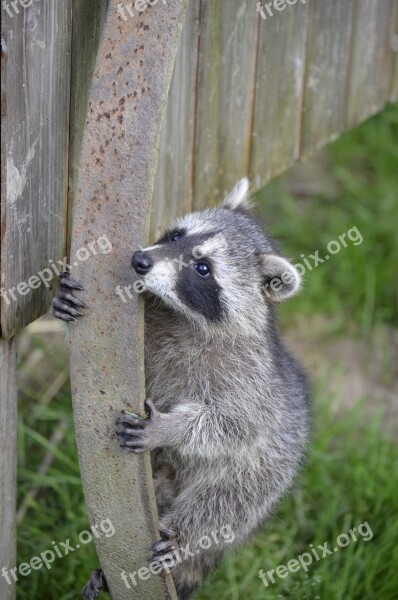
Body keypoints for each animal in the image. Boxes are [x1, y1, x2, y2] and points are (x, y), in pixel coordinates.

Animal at [51, 178, 310, 600]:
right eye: (176, 236)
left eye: (203, 268)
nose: (140, 260)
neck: (186, 318)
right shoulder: (155, 329)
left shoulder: (250, 378)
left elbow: (235, 425)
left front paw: (172, 427)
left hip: (261, 480)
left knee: (223, 504)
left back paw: (184, 535)